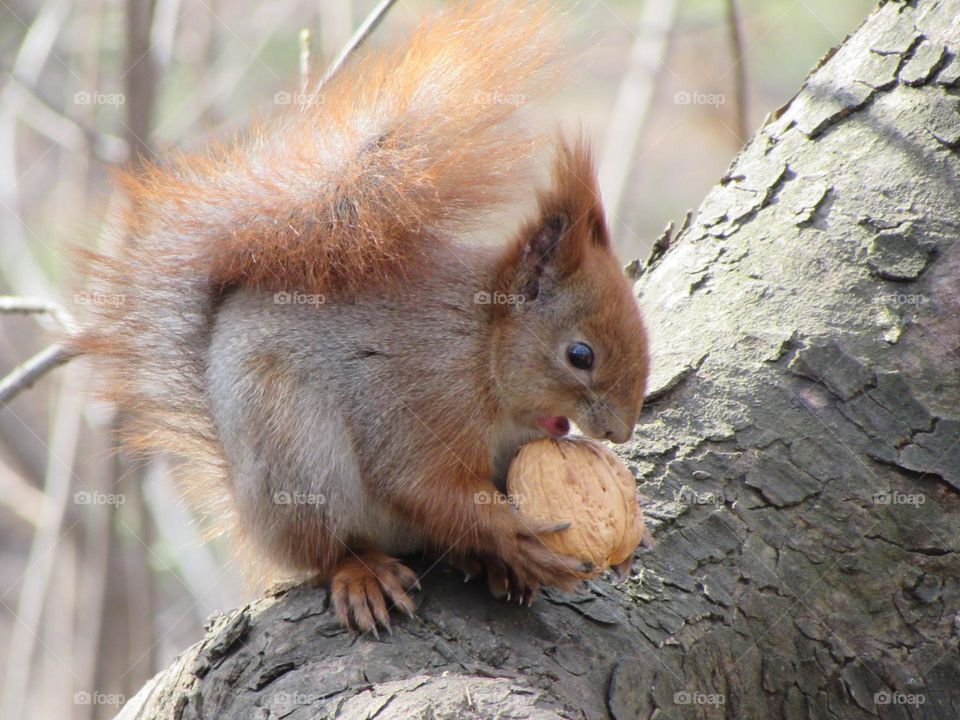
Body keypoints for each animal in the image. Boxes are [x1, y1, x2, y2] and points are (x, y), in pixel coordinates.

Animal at [71, 0, 648, 632]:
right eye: (579, 355)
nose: (620, 432)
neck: (483, 350)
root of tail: (249, 510)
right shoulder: (420, 398)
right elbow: (423, 485)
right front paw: (513, 536)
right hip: (296, 458)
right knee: (328, 549)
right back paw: (364, 572)